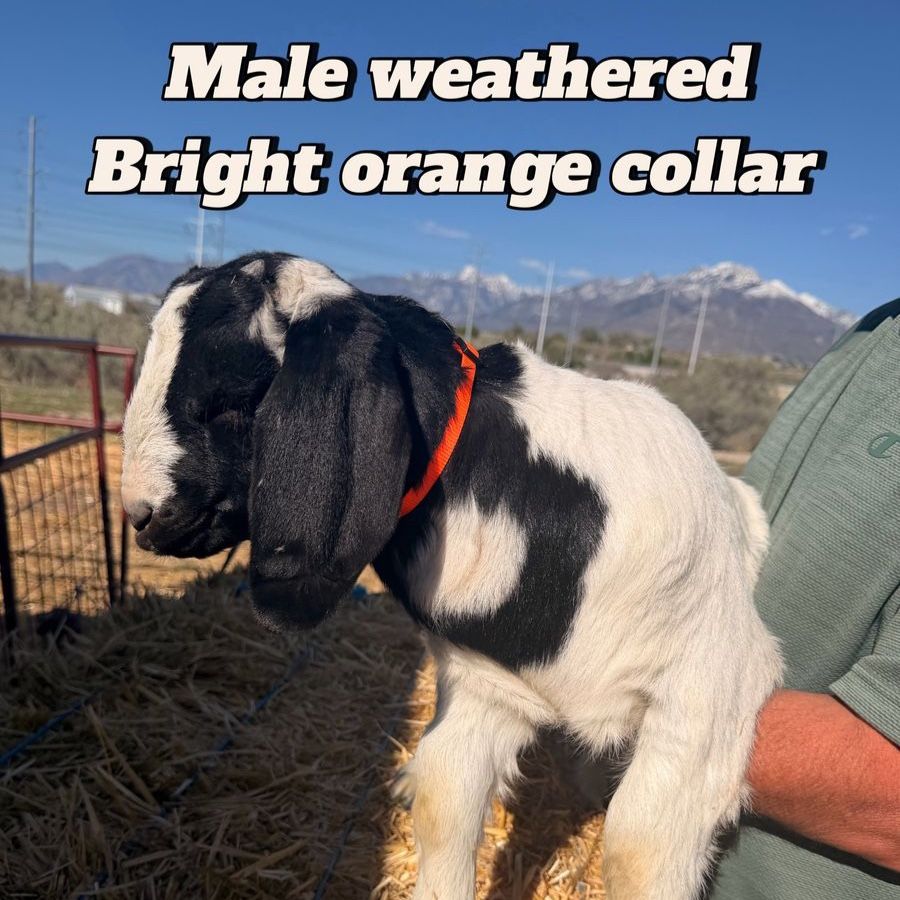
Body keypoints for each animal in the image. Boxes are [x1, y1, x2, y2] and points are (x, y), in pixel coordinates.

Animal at [120, 252, 782, 900]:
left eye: (234, 400)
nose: (141, 516)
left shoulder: (705, 694)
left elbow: (636, 850)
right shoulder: (490, 685)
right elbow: (443, 800)